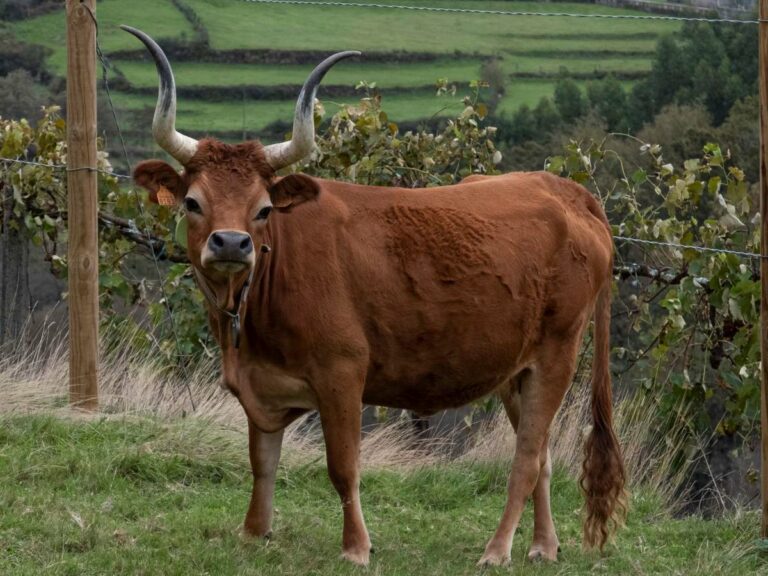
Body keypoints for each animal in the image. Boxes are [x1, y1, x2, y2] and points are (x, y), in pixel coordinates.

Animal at [123, 26, 626, 567]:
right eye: (193, 203)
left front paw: (356, 547)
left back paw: (497, 550)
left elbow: (343, 467)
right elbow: (262, 461)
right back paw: (543, 545)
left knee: (528, 460)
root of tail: (565, 191)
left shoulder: (342, 373)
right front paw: (254, 533)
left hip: (558, 354)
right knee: (545, 457)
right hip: (517, 369)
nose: (232, 244)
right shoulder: (261, 384)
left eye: (263, 209)